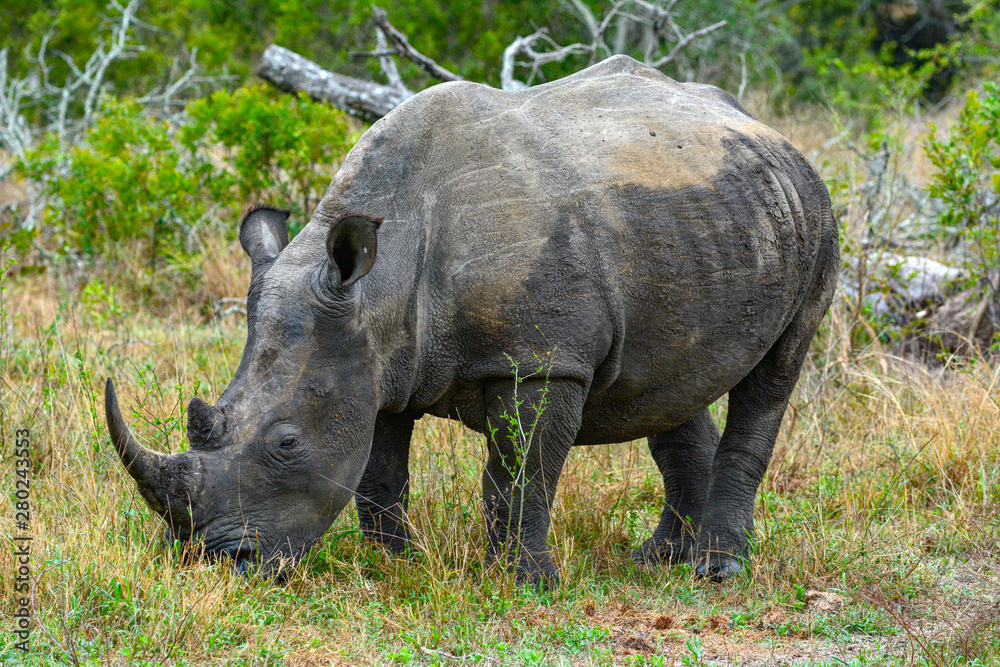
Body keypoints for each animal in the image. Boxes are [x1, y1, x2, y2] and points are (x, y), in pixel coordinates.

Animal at [105, 55, 837, 585]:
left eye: (286, 443)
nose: (216, 562)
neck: (381, 283)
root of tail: (767, 130)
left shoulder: (543, 359)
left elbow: (520, 473)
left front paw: (525, 584)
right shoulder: (376, 361)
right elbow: (379, 473)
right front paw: (393, 563)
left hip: (817, 215)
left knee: (775, 372)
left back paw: (717, 569)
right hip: (707, 217)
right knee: (667, 377)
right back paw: (659, 559)